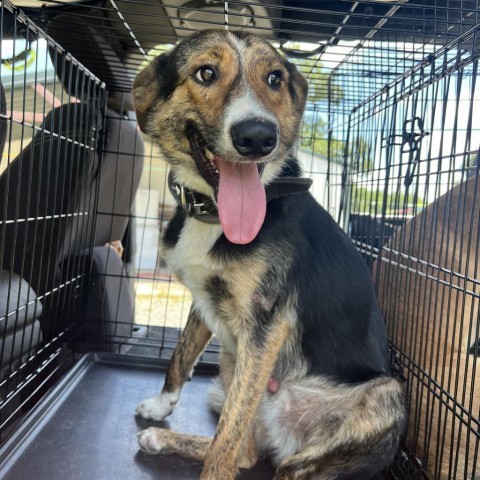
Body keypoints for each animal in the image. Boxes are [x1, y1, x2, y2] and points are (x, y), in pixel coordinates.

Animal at [132, 31, 404, 480]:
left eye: (275, 78)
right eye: (205, 73)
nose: (258, 137)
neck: (212, 214)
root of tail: (289, 432)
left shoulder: (264, 329)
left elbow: (224, 446)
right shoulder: (205, 301)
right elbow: (180, 355)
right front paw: (161, 404)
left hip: (385, 395)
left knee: (273, 464)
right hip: (232, 361)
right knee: (245, 452)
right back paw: (160, 439)